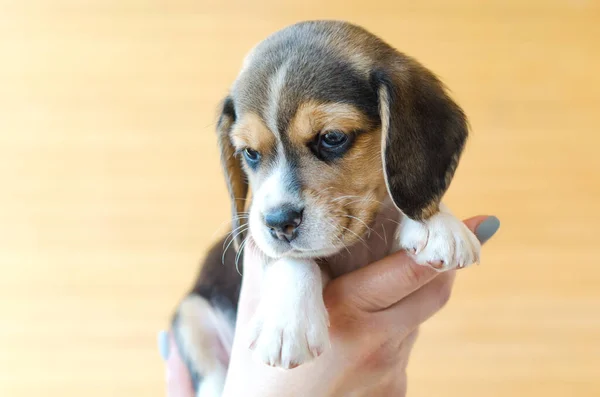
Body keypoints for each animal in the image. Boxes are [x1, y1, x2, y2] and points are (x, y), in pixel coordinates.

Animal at [171, 20, 480, 394]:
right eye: (250, 153)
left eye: (332, 138)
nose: (279, 222)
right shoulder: (257, 237)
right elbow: (291, 259)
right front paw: (288, 323)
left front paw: (438, 224)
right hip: (191, 314)